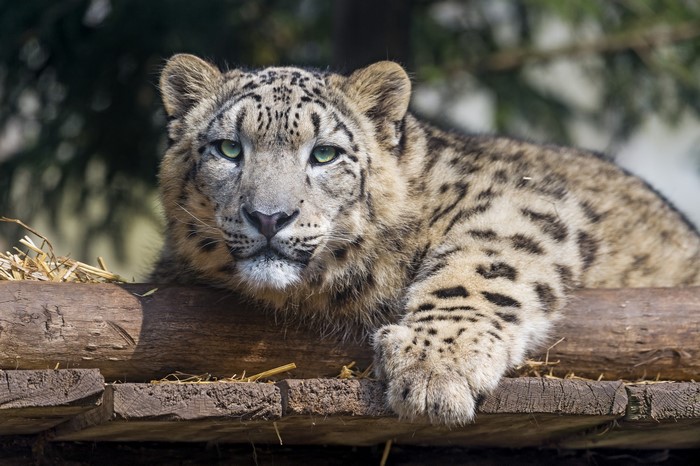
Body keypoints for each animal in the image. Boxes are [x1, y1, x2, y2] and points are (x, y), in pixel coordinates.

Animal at [150, 53, 700, 425]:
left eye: (325, 154)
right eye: (228, 148)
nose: (269, 217)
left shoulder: (525, 197)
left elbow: (483, 264)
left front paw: (436, 367)